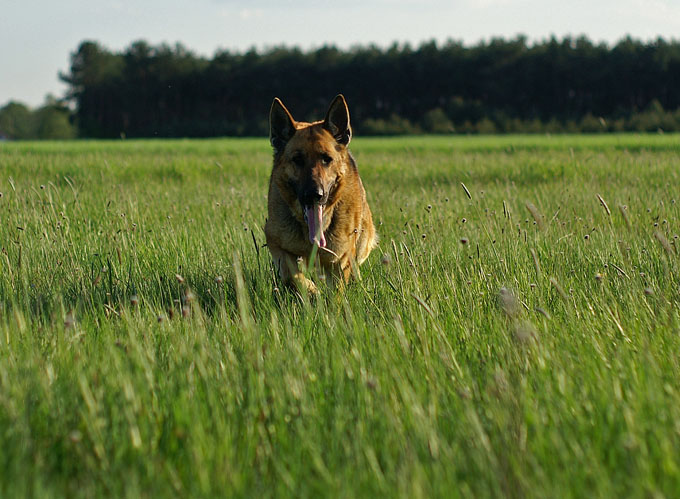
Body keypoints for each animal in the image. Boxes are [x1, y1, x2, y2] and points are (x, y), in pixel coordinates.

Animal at [264, 94, 378, 292]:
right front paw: (311, 290)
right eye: (297, 159)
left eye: (327, 159)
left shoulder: (339, 260)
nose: (314, 195)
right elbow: (291, 275)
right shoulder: (276, 242)